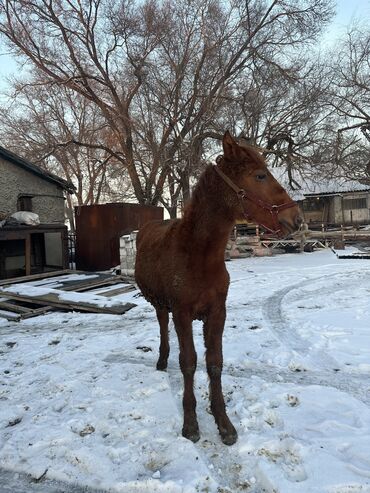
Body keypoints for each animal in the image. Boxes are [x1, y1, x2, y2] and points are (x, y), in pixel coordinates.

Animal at [134, 132, 302, 446]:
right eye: (260, 175)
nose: (296, 218)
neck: (198, 256)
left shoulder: (217, 313)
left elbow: (214, 363)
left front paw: (223, 421)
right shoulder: (183, 313)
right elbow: (188, 362)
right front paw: (190, 423)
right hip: (162, 304)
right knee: (162, 326)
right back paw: (162, 360)